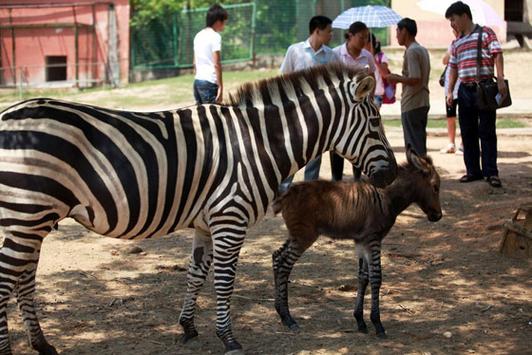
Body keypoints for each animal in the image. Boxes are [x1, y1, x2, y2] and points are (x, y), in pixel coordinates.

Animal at [0, 62, 396, 354]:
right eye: (375, 122)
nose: (390, 175)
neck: (257, 142)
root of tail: (9, 113)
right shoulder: (230, 216)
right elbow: (224, 280)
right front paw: (229, 338)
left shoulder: (209, 222)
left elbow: (195, 274)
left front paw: (188, 326)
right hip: (26, 216)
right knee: (7, 281)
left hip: (31, 219)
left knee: (23, 280)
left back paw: (43, 344)